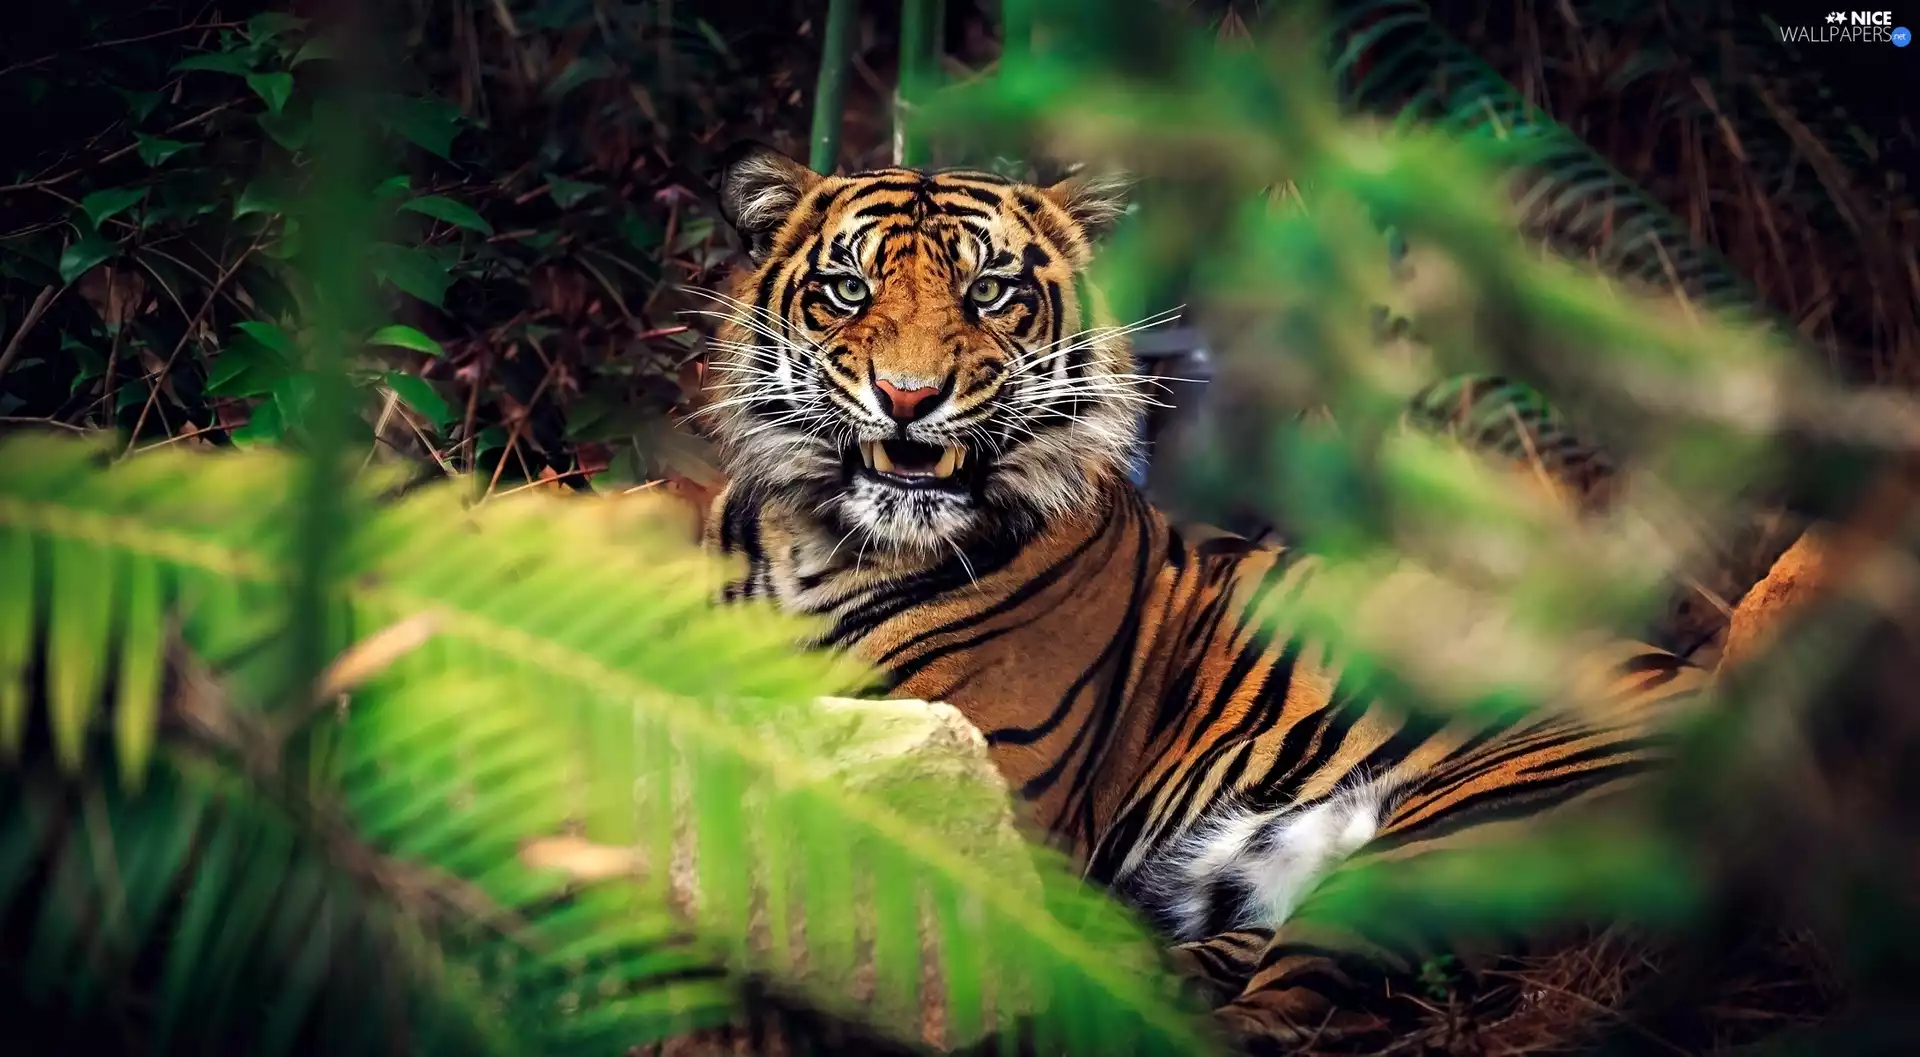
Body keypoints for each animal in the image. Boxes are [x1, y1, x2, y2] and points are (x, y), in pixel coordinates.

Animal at [698, 141, 1710, 1053]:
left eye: (988, 292)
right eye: (847, 290)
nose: (908, 397)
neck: (826, 543)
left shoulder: (985, 782)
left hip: (1444, 839)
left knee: (1294, 1018)